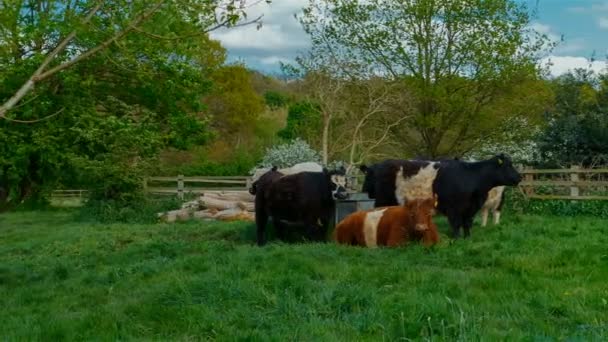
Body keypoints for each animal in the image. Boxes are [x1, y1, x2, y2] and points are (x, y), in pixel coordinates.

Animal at [360, 154, 524, 238]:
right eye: (508, 165)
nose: (519, 177)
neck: (472, 177)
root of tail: (381, 164)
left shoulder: (471, 208)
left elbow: (467, 224)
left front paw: (467, 238)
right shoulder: (454, 208)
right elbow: (456, 224)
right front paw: (456, 239)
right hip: (382, 200)